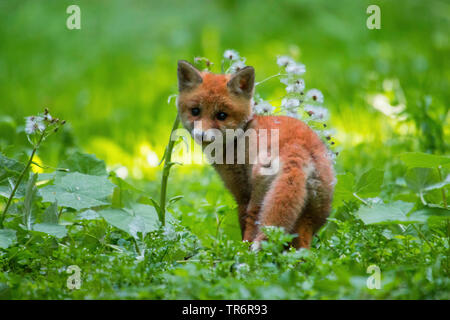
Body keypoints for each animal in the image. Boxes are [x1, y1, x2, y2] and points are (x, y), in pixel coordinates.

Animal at [176, 60, 334, 250]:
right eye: (195, 111)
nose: (201, 135)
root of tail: (299, 147)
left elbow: (242, 223)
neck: (241, 134)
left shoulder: (241, 194)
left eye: (221, 115)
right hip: (309, 219)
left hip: (259, 201)